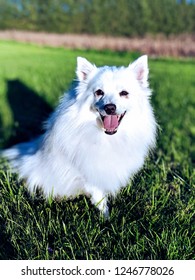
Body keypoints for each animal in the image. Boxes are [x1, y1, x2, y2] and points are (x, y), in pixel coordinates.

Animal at [1, 55, 157, 217]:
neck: (107, 136)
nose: (110, 107)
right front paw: (105, 215)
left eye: (124, 93)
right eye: (99, 92)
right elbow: (98, 192)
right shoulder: (88, 168)